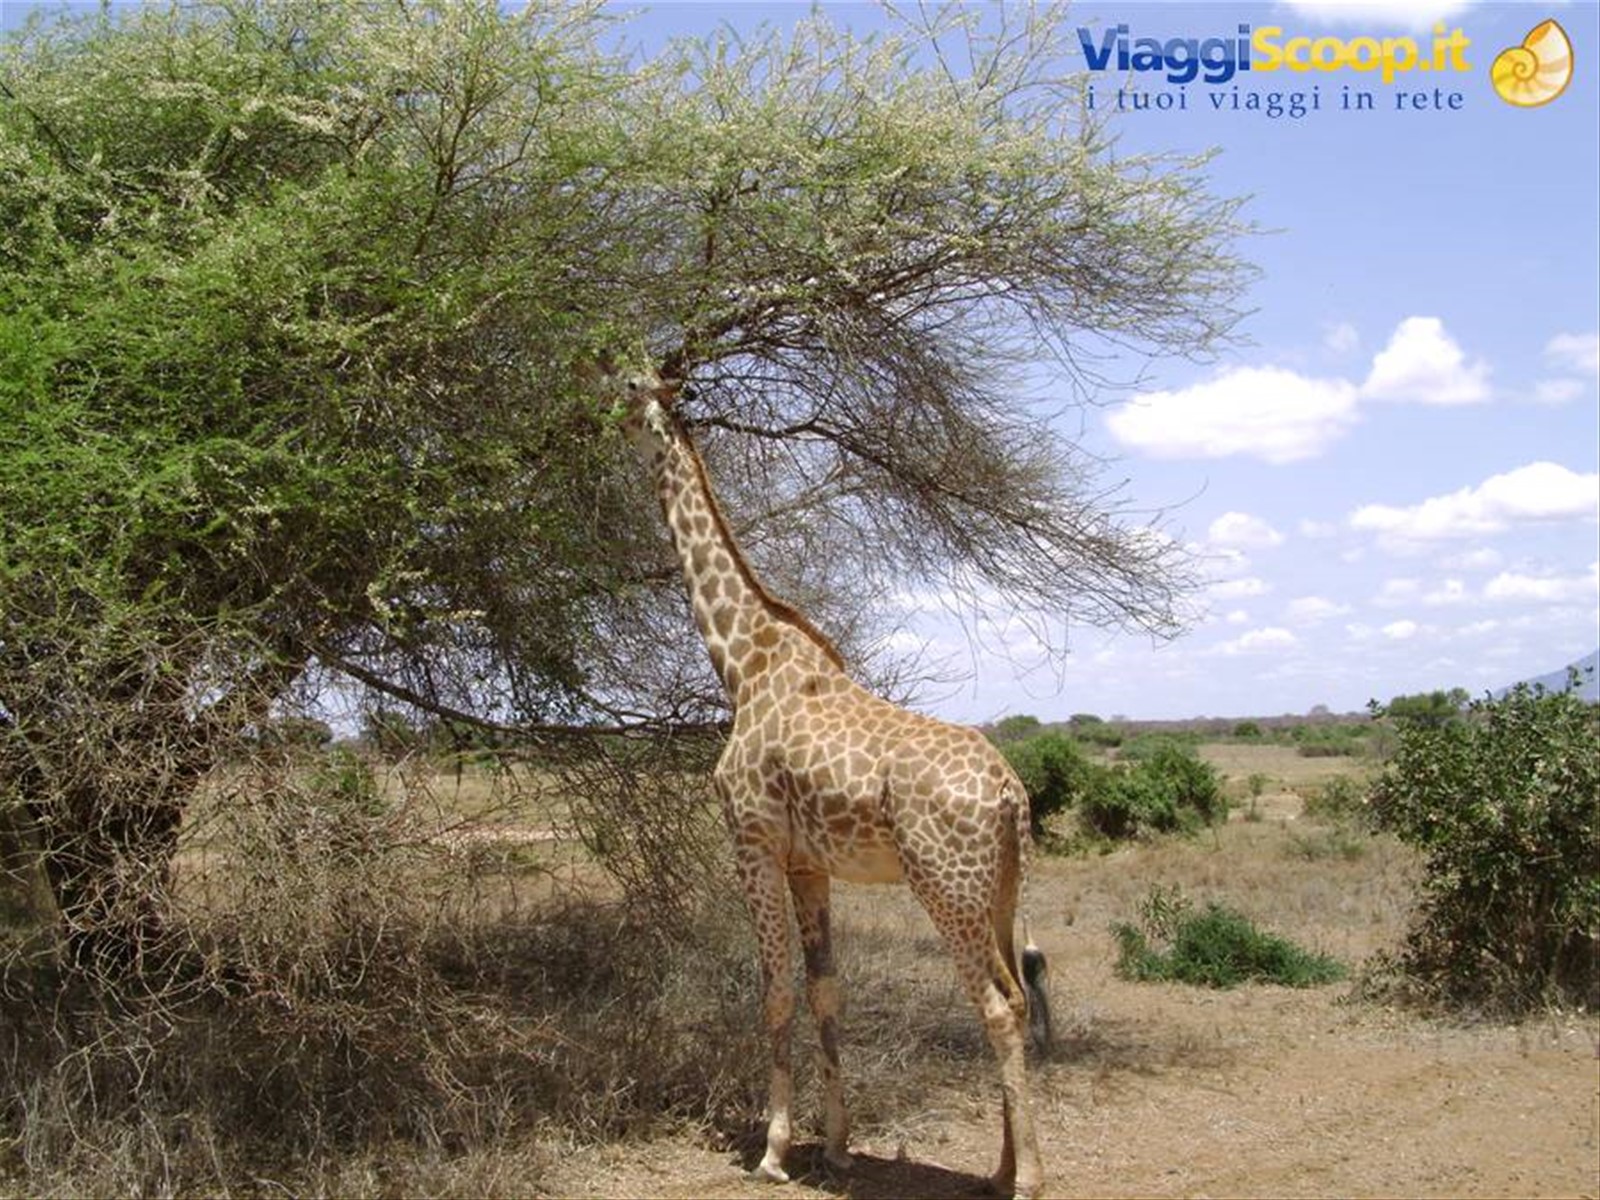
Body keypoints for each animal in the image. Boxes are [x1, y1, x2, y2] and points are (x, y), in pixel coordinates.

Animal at [611, 368, 1049, 1199]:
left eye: (628, 397)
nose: (600, 428)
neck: (742, 663)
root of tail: (1013, 795)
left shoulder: (751, 842)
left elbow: (775, 991)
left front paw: (774, 1152)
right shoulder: (810, 863)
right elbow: (826, 990)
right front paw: (839, 1147)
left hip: (946, 885)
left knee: (1001, 1005)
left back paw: (1027, 1179)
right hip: (1001, 889)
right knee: (1015, 993)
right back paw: (1001, 1167)